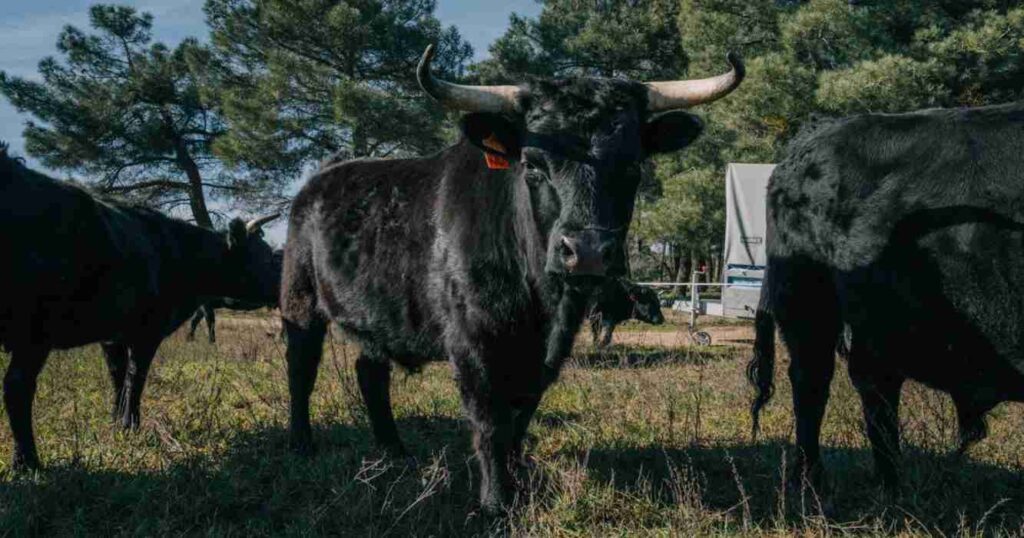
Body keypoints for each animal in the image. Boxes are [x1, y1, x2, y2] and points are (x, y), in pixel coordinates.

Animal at [0, 145, 280, 469]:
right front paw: (130, 424)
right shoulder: (147, 332)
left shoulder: (112, 336)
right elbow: (136, 377)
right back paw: (27, 460)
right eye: (265, 256)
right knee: (17, 386)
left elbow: (118, 377)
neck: (179, 251)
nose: (284, 283)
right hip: (34, 329)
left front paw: (115, 422)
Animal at [280, 44, 743, 512]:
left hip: (376, 315)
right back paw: (301, 444)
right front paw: (496, 500)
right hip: (299, 301)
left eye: (633, 166)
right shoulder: (472, 340)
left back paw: (395, 450)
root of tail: (320, 181)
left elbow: (522, 413)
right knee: (301, 368)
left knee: (370, 372)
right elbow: (490, 419)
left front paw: (519, 476)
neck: (541, 301)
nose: (588, 252)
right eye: (532, 165)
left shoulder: (547, 352)